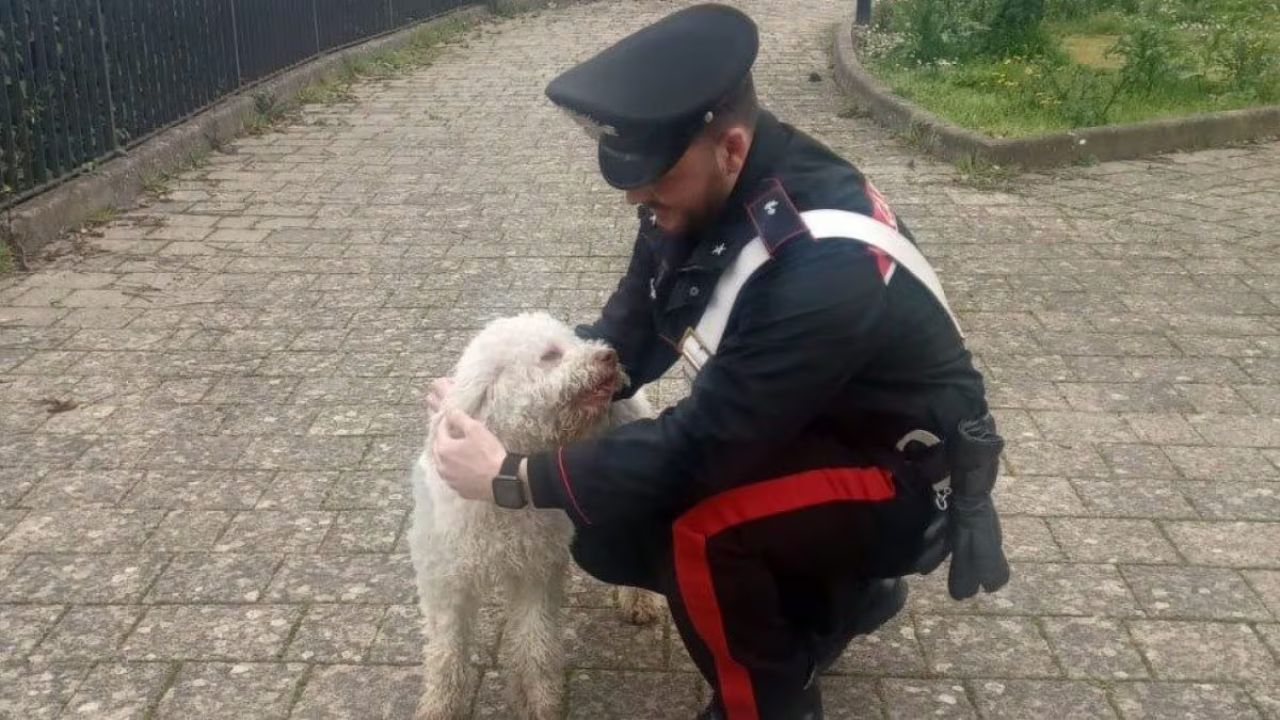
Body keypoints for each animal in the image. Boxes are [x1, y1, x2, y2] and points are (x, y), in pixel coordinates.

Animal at [409, 311, 665, 717]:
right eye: (550, 355)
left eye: (572, 342)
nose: (609, 355)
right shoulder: (446, 581)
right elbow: (447, 655)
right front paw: (439, 707)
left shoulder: (535, 573)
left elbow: (535, 646)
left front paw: (537, 703)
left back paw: (640, 600)